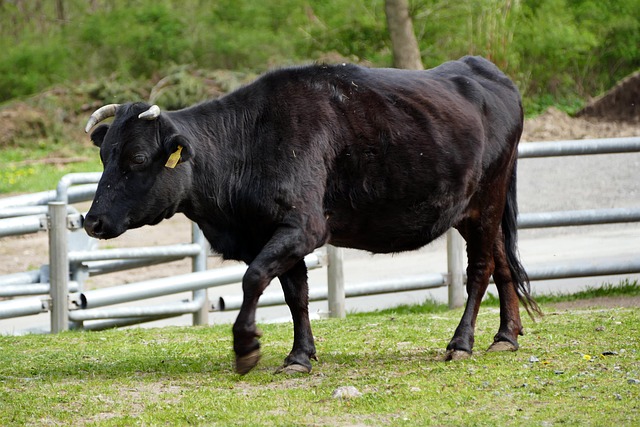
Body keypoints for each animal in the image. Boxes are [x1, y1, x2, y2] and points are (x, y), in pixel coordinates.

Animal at [83, 56, 540, 375]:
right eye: (104, 155)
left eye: (137, 157)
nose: (91, 221)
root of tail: (481, 67)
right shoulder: (271, 233)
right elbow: (295, 294)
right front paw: (300, 355)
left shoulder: (305, 227)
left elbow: (254, 278)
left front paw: (246, 347)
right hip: (476, 213)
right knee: (502, 263)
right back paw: (506, 335)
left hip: (486, 201)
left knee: (480, 269)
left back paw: (462, 343)